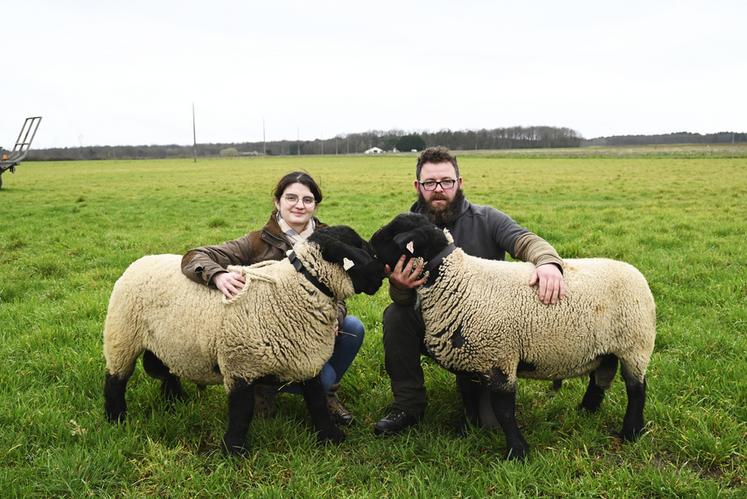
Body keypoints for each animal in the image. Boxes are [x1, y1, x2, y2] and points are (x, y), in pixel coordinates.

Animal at [103, 227, 386, 458]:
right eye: (357, 247)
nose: (383, 272)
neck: (294, 289)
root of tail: (142, 260)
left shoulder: (307, 361)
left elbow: (317, 402)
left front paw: (331, 436)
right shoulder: (240, 364)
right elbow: (241, 412)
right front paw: (234, 451)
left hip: (167, 342)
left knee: (168, 369)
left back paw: (175, 401)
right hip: (121, 335)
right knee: (115, 380)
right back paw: (116, 419)